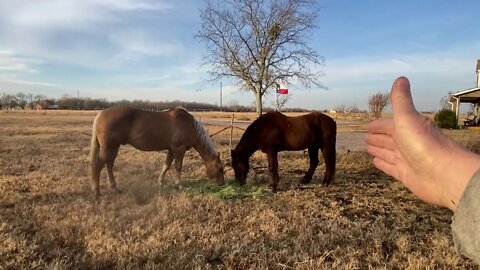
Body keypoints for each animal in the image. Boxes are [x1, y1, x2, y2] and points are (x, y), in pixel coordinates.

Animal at [89, 105, 224, 196]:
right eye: (220, 168)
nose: (221, 184)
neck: (189, 126)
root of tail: (100, 114)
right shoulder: (179, 149)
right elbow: (178, 167)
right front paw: (178, 185)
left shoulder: (171, 149)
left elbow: (166, 165)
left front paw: (161, 182)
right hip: (109, 148)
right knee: (98, 165)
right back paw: (96, 192)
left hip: (114, 148)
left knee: (109, 165)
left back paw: (115, 188)